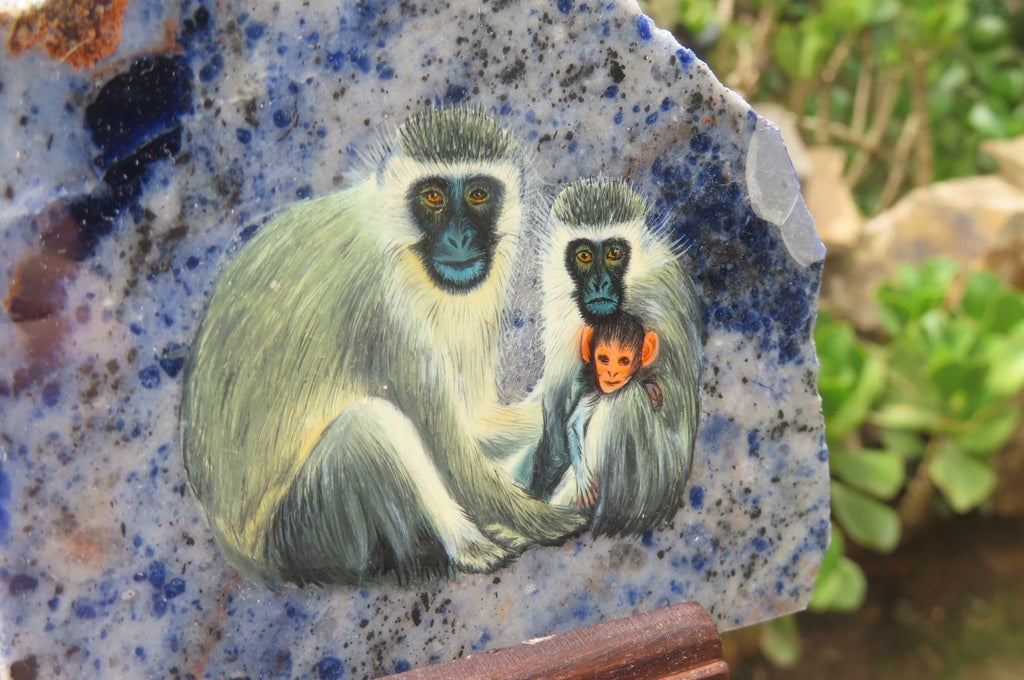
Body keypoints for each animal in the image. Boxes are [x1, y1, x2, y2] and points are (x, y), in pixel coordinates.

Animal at [180, 108, 587, 586]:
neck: (402, 247)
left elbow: (475, 421)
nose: (460, 239)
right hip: (306, 533)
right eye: (433, 196)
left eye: (478, 194)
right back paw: (473, 548)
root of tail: (243, 555)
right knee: (369, 425)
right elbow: (452, 450)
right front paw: (547, 521)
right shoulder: (382, 303)